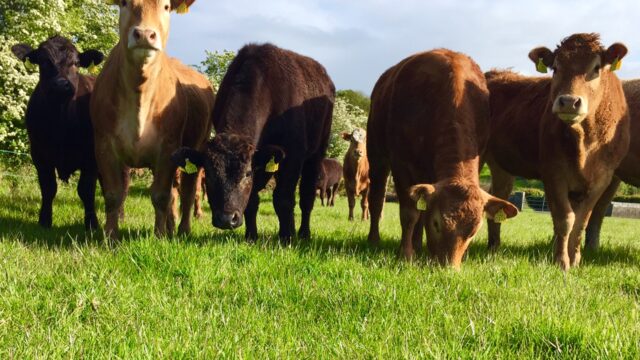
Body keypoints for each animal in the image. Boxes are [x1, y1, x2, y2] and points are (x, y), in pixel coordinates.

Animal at [10, 35, 105, 229]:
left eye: (76, 63)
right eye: (44, 61)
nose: (61, 85)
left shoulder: (90, 156)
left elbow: (86, 190)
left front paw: (92, 224)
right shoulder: (39, 154)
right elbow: (48, 187)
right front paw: (44, 221)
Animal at [90, 0, 215, 242]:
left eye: (166, 7)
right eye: (124, 3)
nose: (145, 34)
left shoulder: (168, 147)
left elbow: (161, 196)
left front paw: (159, 237)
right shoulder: (103, 144)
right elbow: (114, 194)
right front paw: (110, 237)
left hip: (197, 150)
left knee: (188, 192)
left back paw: (183, 229)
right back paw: (171, 227)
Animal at [172, 43, 338, 243]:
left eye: (247, 174)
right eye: (209, 174)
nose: (226, 219)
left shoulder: (293, 155)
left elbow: (283, 199)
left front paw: (286, 238)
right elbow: (252, 200)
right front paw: (251, 236)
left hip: (316, 153)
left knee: (306, 196)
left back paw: (303, 233)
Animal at [364, 48, 520, 268]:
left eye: (473, 232)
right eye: (437, 223)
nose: (449, 267)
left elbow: (421, 212)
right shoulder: (401, 163)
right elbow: (409, 213)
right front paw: (405, 254)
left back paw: (418, 244)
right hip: (376, 154)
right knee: (377, 198)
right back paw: (375, 239)